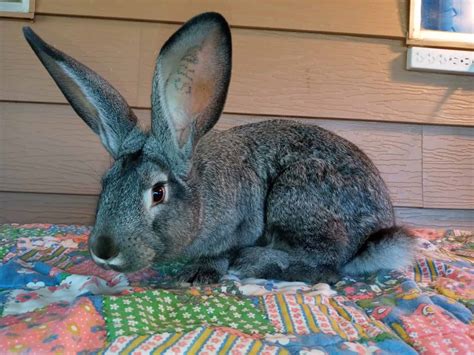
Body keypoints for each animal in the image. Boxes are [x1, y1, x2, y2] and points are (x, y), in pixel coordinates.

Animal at [23, 11, 414, 284]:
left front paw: (198, 273)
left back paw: (257, 263)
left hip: (296, 194)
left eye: (158, 192)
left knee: (327, 266)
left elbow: (222, 253)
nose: (104, 251)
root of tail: (377, 232)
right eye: (105, 184)